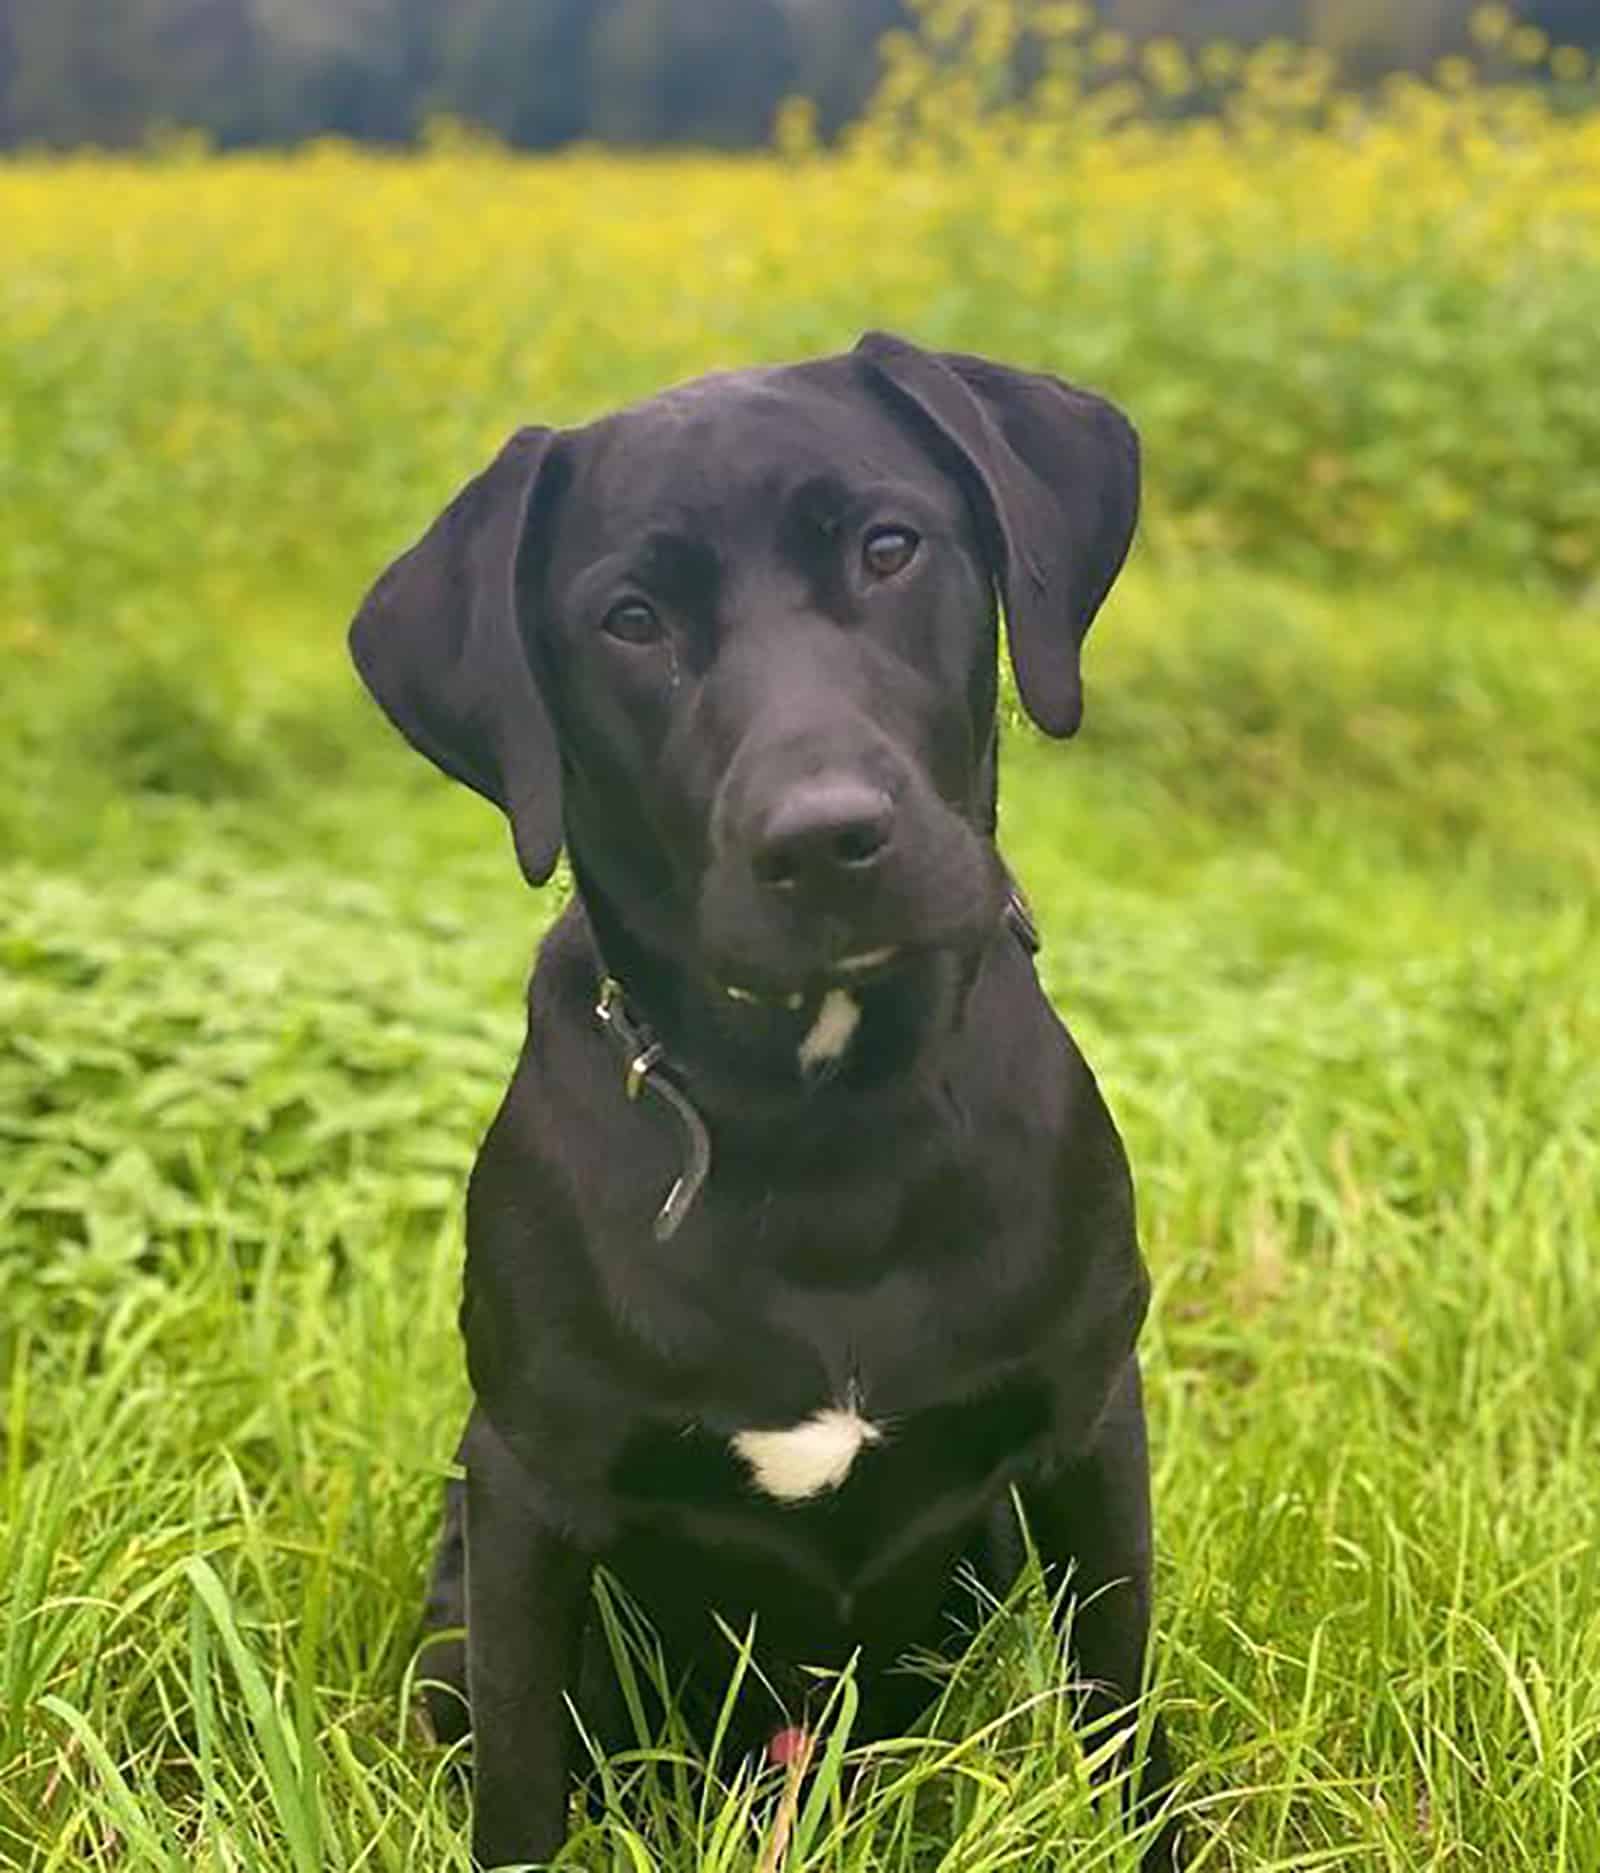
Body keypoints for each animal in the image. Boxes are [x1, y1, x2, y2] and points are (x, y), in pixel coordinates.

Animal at [348, 329, 1176, 1865]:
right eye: (628, 621)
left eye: (888, 547)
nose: (827, 840)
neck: (825, 1124)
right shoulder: (529, 1498)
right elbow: (521, 1789)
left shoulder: (1090, 1428)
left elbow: (1128, 1731)